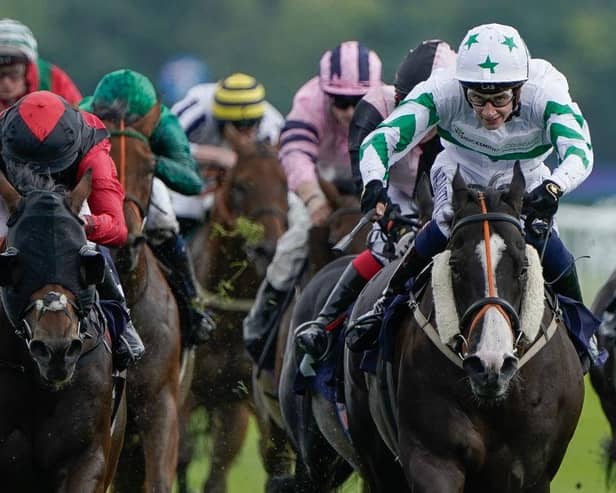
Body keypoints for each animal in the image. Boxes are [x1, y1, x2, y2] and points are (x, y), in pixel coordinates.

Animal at [182, 131, 290, 492]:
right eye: (241, 185)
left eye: (285, 184)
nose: (268, 248)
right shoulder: (189, 394)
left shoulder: (237, 401)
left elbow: (218, 476)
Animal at [344, 163, 584, 490]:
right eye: (455, 266)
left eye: (523, 267)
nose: (490, 364)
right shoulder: (432, 457)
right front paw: (375, 195)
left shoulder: (533, 470)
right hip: (375, 457)